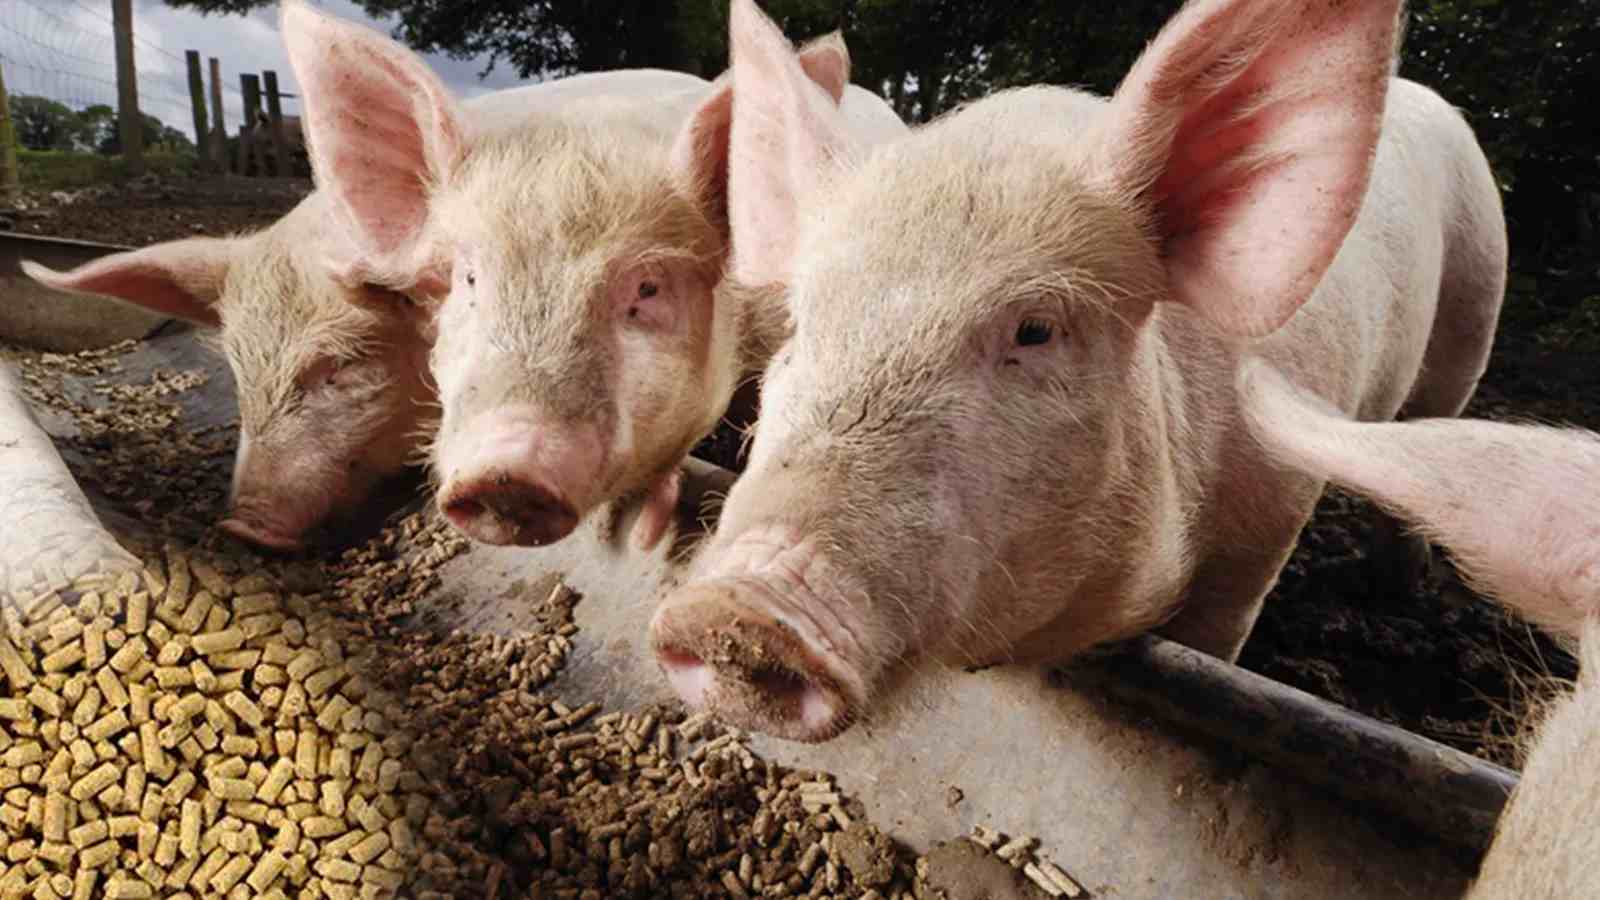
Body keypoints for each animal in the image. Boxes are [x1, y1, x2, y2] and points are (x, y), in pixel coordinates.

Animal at [647, 0, 1508, 741]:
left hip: (1475, 313)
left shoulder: (1267, 527)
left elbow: (1217, 638)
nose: (735, 609)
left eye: (1037, 331)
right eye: (802, 321)